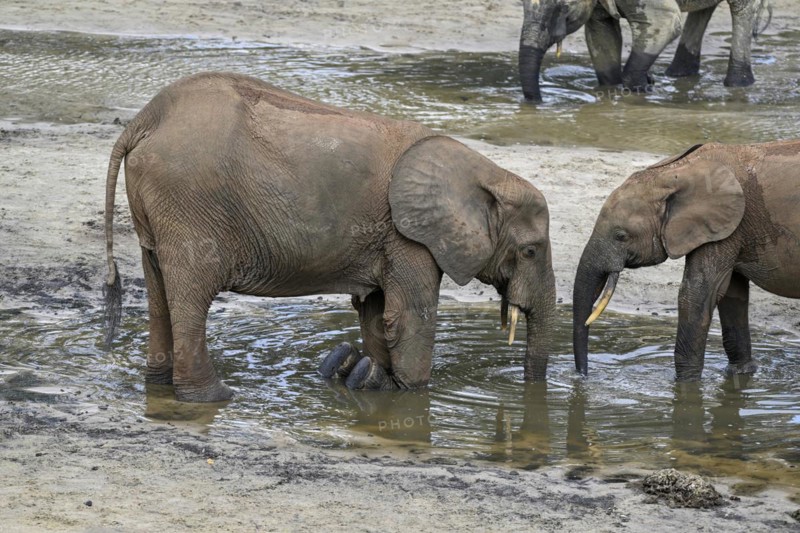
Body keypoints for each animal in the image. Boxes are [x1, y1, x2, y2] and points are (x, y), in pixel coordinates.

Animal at [103, 72, 556, 403]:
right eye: (530, 251)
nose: (528, 388)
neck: (486, 173)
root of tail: (144, 120)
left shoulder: (391, 236)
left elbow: (376, 313)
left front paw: (360, 371)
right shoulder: (410, 237)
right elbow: (409, 316)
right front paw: (397, 391)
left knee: (159, 289)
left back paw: (160, 386)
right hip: (189, 204)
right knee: (191, 294)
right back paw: (213, 398)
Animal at [519, 0, 772, 102]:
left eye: (563, 7)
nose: (539, 102)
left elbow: (666, 22)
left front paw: (641, 91)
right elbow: (602, 34)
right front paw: (612, 92)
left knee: (741, 8)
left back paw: (738, 85)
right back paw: (678, 75)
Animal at [573, 140, 800, 381]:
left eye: (621, 236)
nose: (582, 376)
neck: (677, 171)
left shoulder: (725, 228)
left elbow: (695, 294)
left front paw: (685, 383)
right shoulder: (728, 229)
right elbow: (731, 295)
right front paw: (740, 375)